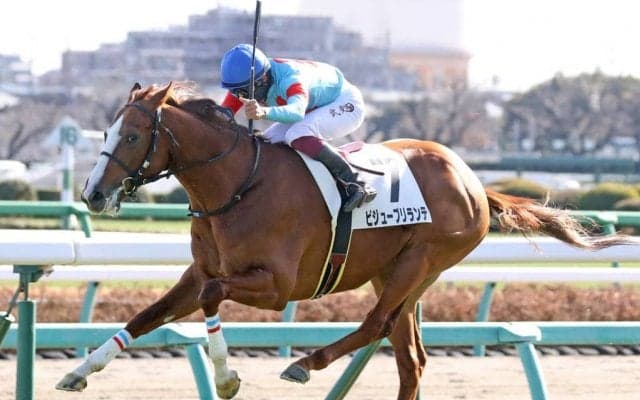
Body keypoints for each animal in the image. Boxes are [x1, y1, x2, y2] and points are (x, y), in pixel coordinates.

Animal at [58, 81, 635, 400]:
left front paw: (226, 377)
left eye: (133, 135)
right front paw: (78, 372)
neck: (238, 184)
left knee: (376, 325)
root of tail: (472, 179)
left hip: (423, 260)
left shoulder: (278, 286)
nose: (92, 195)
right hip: (397, 272)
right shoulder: (199, 270)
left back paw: (305, 364)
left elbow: (211, 299)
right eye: (107, 132)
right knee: (410, 359)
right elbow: (146, 316)